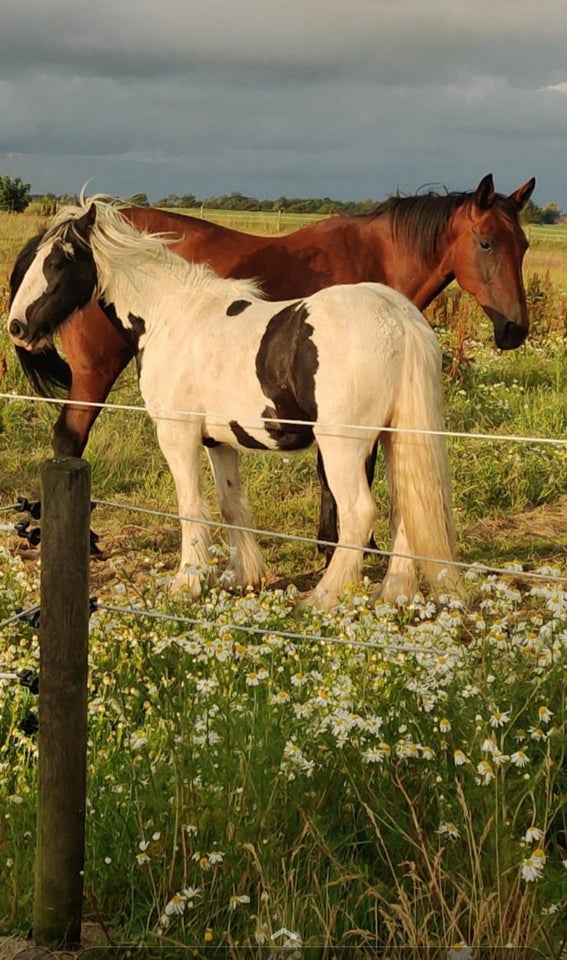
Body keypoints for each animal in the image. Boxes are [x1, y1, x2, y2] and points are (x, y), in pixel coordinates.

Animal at [10, 172, 536, 556]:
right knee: (69, 438)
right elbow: (340, 476)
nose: (514, 329)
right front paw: (342, 548)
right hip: (94, 375)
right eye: (486, 243)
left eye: (524, 246)